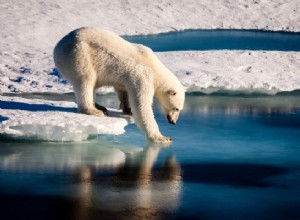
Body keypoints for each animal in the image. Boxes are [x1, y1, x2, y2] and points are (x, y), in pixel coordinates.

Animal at [54, 27, 185, 143]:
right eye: (176, 108)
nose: (173, 122)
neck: (155, 69)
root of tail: (57, 46)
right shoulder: (142, 76)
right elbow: (141, 105)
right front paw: (162, 137)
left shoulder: (127, 78)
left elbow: (123, 90)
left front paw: (127, 109)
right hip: (79, 54)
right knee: (86, 80)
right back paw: (94, 110)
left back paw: (100, 106)